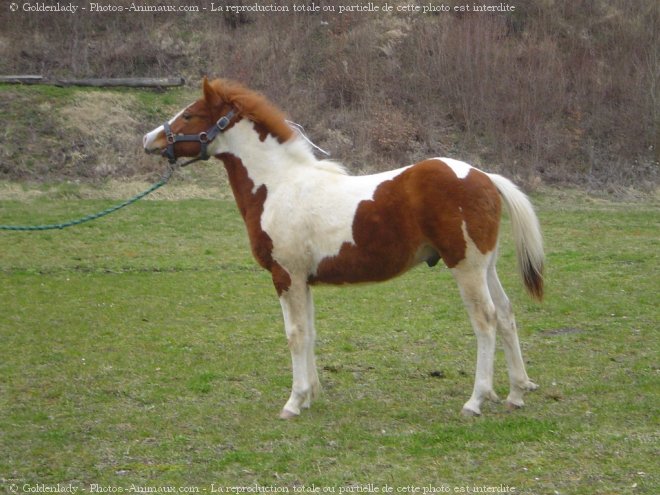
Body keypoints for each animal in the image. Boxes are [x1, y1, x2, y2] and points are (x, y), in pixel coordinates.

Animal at [142, 77, 544, 418]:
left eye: (189, 114)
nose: (149, 140)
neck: (279, 184)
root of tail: (484, 176)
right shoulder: (303, 280)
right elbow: (309, 333)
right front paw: (311, 396)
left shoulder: (286, 276)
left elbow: (295, 335)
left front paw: (293, 402)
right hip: (485, 266)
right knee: (506, 314)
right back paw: (516, 393)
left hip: (466, 268)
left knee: (486, 320)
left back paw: (476, 401)